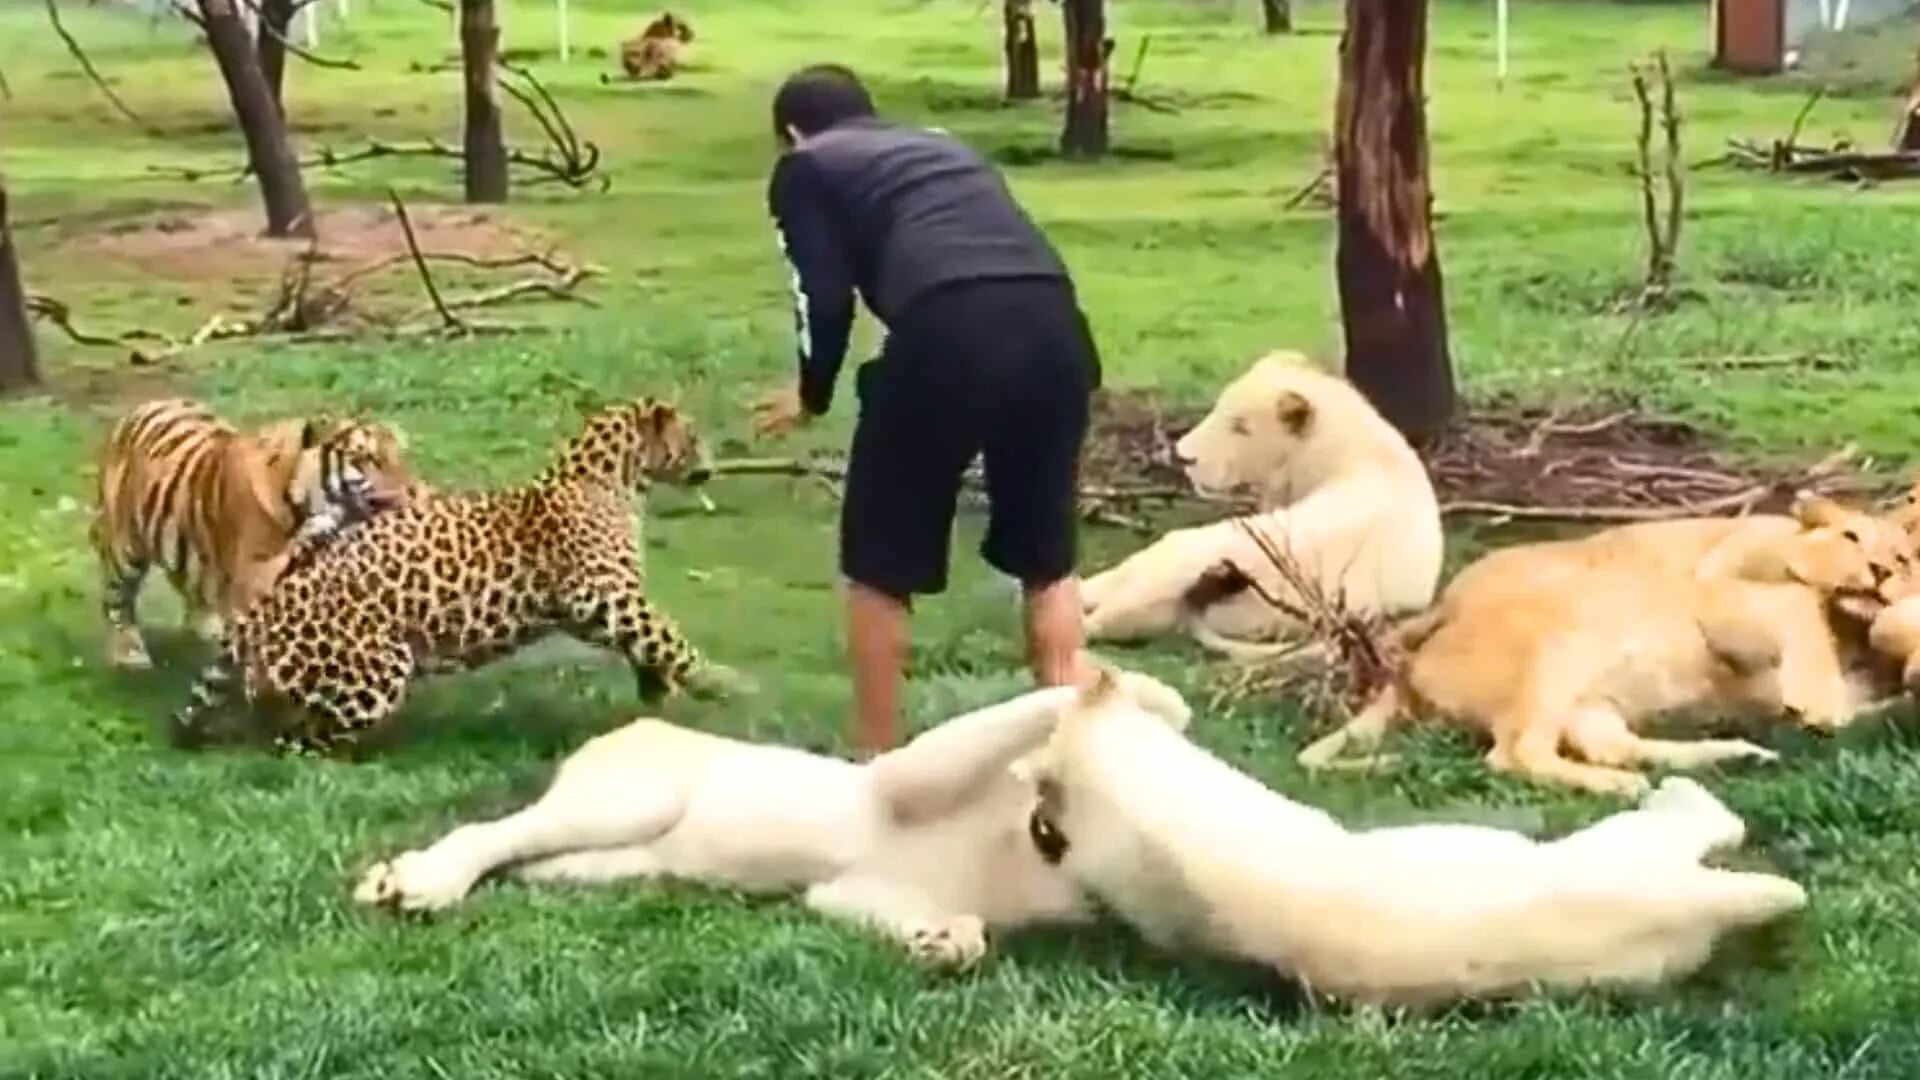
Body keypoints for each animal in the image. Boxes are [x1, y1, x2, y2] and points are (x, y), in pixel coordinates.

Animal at [91, 395, 422, 664]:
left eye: (398, 458)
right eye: (365, 459)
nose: (407, 493)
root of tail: (140, 408)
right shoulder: (252, 575)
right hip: (124, 548)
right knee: (116, 599)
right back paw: (129, 652)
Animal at [167, 395, 741, 757]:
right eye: (692, 435)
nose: (712, 465)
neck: (615, 479)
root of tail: (258, 616)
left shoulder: (597, 605)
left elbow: (650, 643)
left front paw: (657, 688)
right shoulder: (602, 593)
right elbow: (668, 636)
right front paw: (723, 684)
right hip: (380, 667)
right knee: (296, 743)